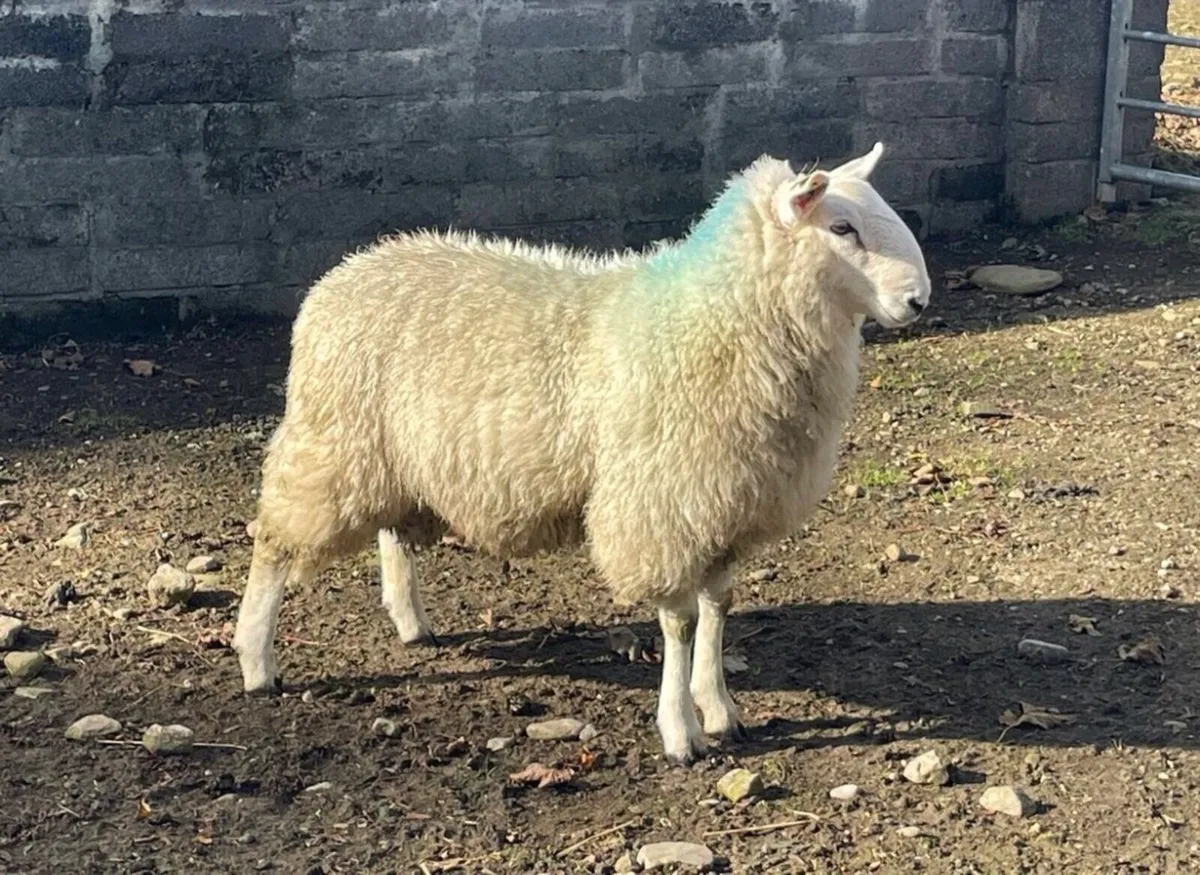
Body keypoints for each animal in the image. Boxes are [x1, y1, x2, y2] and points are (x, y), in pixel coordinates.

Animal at [232, 141, 932, 765]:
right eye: (841, 226)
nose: (919, 300)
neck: (716, 318)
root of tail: (350, 268)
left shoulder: (722, 502)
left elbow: (718, 608)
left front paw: (720, 708)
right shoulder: (665, 504)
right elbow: (680, 623)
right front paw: (680, 733)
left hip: (396, 454)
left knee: (391, 532)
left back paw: (410, 622)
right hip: (332, 441)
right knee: (274, 543)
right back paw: (256, 661)